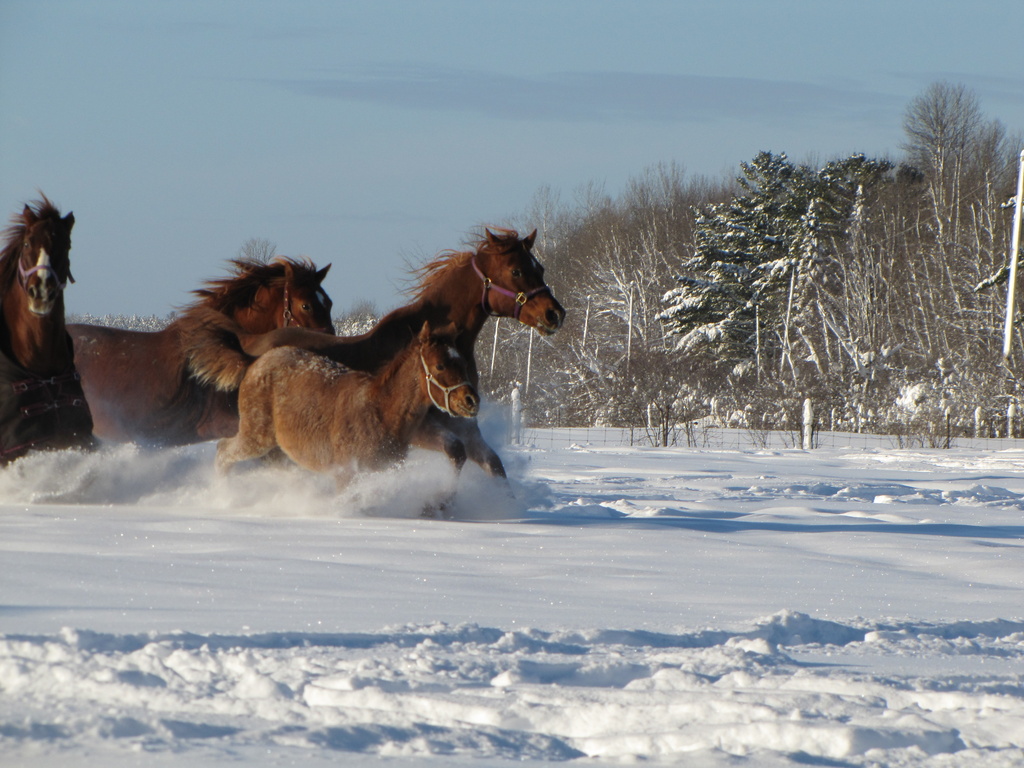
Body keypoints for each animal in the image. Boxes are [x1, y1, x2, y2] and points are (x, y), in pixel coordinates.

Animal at [216, 323, 479, 493]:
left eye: (463, 362)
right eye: (440, 365)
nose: (471, 401)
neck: (380, 412)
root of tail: (254, 362)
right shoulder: (347, 475)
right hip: (257, 437)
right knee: (224, 451)